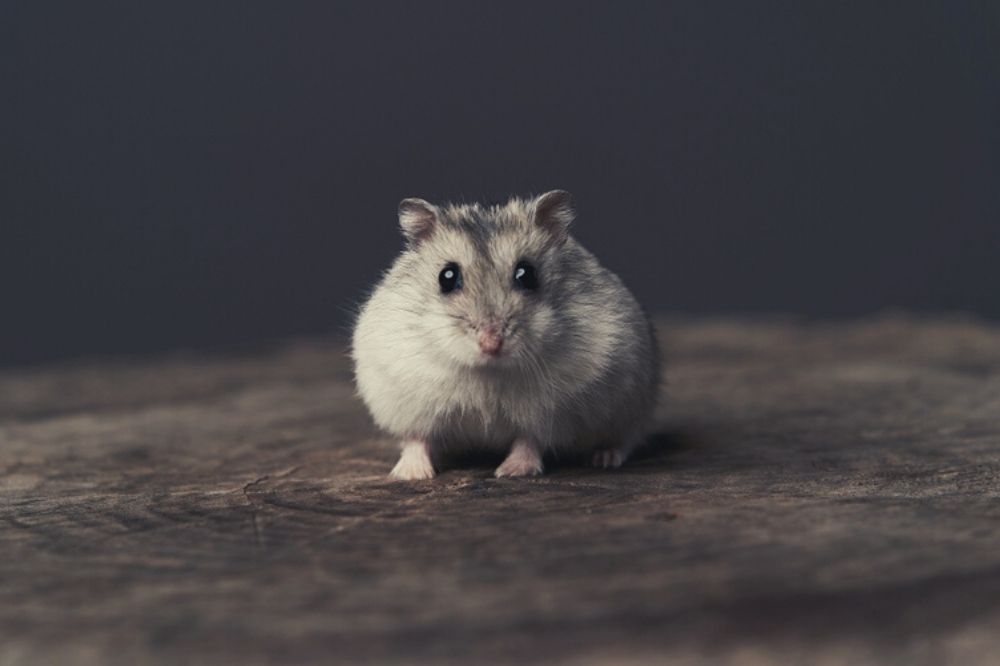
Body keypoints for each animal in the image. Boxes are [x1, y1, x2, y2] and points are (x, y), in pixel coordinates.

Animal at [354, 191, 664, 478]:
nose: (491, 344)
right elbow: (416, 438)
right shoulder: (407, 400)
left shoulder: (552, 412)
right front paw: (411, 475)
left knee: (625, 439)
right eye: (447, 277)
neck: (488, 371)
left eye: (527, 274)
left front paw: (511, 471)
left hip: (632, 408)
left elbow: (529, 440)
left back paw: (604, 459)